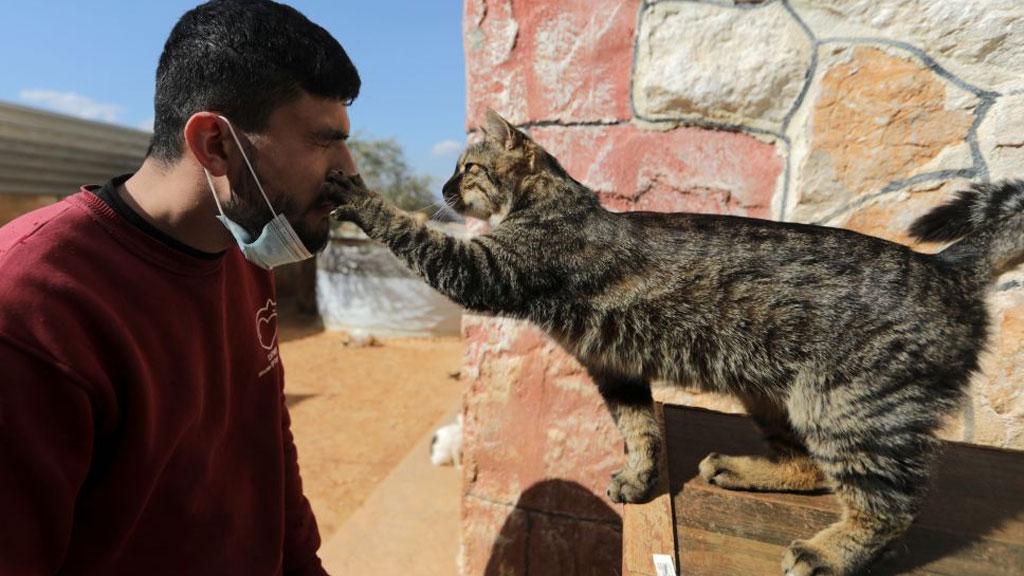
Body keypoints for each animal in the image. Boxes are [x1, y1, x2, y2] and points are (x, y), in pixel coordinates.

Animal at [329, 109, 1024, 569]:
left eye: (466, 167)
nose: (445, 189)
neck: (551, 203)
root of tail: (948, 267)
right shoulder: (614, 366)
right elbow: (640, 432)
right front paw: (639, 481)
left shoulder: (483, 271)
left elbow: (410, 231)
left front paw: (360, 196)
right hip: (782, 399)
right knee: (813, 469)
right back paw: (740, 469)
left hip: (849, 408)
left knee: (890, 505)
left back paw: (828, 553)